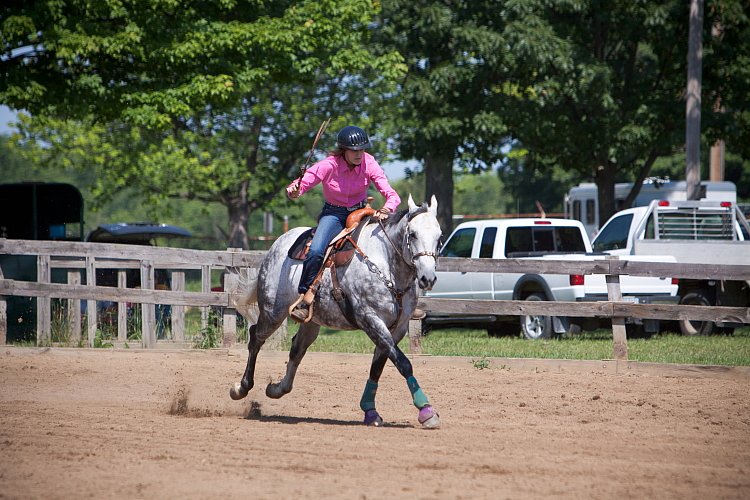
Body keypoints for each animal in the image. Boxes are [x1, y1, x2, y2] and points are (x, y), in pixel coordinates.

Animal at [232, 193, 444, 428]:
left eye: (439, 236)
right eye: (413, 234)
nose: (427, 278)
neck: (386, 266)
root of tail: (277, 245)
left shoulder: (397, 328)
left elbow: (379, 365)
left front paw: (370, 411)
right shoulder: (370, 320)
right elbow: (404, 363)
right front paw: (426, 411)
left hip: (312, 321)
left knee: (297, 349)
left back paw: (277, 389)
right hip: (272, 311)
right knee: (256, 338)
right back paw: (241, 388)